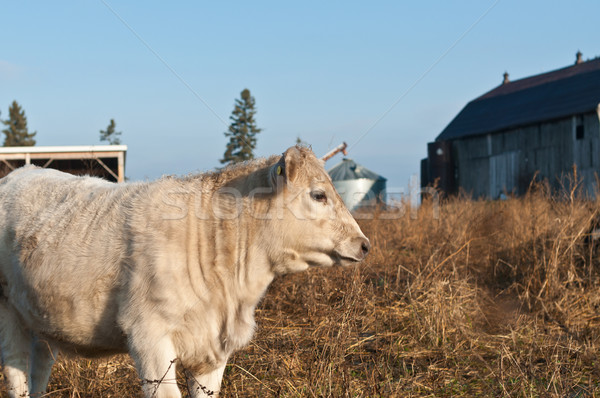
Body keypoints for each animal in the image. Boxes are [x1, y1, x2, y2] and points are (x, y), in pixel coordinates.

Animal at [0, 147, 368, 398]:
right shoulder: (149, 337)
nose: (364, 244)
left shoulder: (213, 351)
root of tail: (23, 171)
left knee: (38, 372)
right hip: (7, 313)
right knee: (16, 373)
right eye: (318, 195)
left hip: (40, 322)